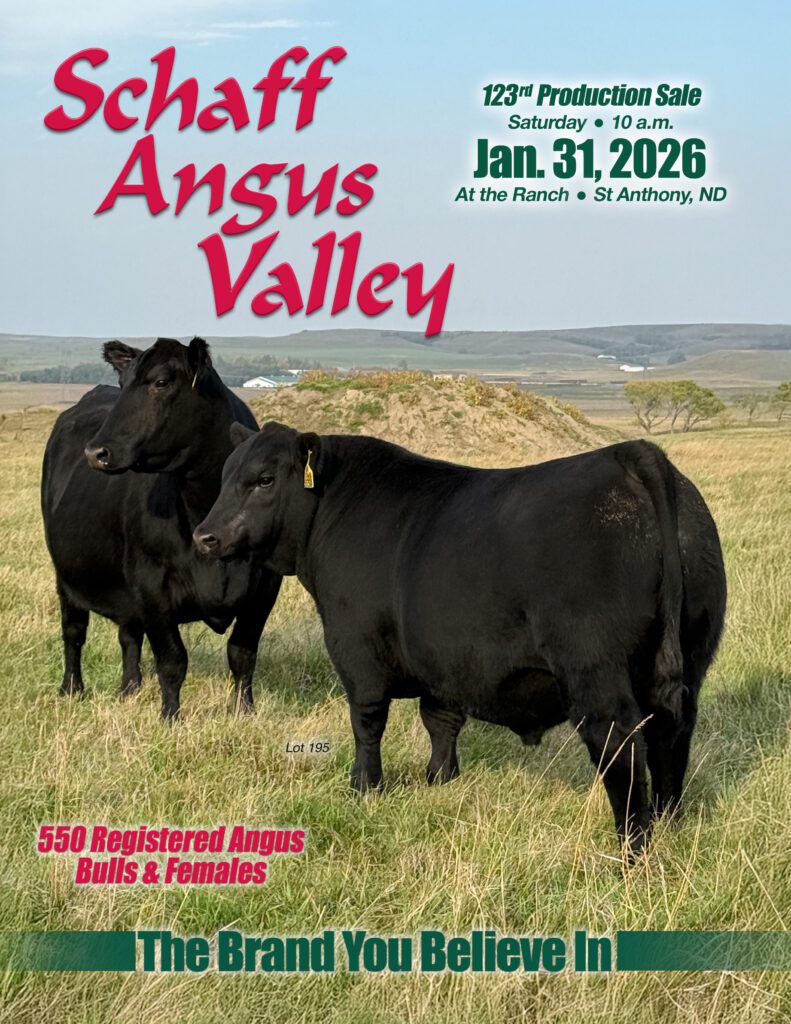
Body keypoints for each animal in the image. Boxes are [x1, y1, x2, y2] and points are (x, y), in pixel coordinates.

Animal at [41, 337, 282, 719]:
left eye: (161, 382)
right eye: (123, 383)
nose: (96, 452)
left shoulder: (265, 584)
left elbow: (242, 654)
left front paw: (244, 712)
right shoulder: (151, 583)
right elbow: (172, 661)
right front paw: (170, 718)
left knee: (128, 635)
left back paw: (129, 689)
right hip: (66, 575)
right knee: (74, 631)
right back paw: (72, 690)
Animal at [194, 423, 726, 856]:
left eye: (264, 479)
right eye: (224, 476)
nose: (205, 536)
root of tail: (629, 455)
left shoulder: (355, 648)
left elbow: (367, 723)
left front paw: (364, 788)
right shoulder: (443, 659)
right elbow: (441, 721)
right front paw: (439, 780)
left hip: (595, 674)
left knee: (620, 748)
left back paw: (631, 850)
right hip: (687, 663)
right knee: (671, 737)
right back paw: (670, 825)